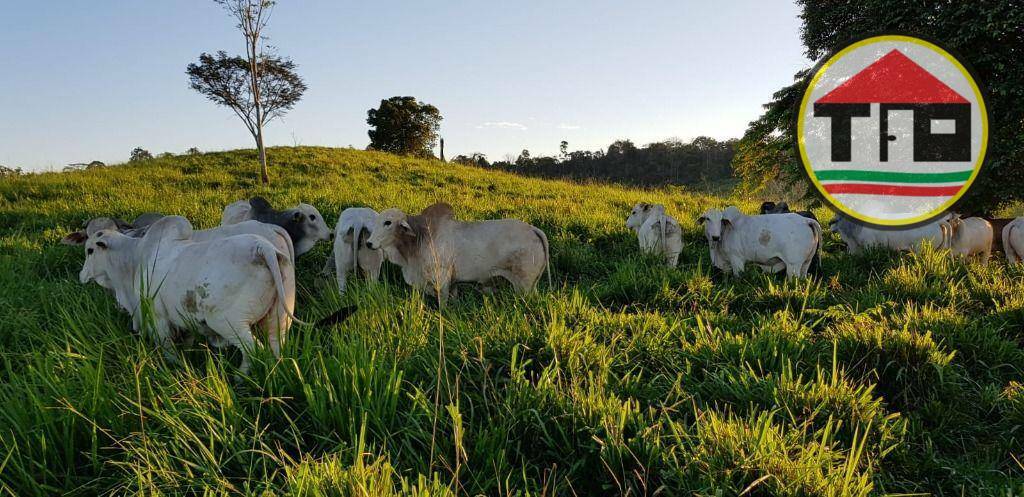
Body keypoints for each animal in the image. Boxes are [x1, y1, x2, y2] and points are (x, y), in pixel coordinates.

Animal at [362, 202, 548, 303]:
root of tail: (532, 229)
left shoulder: (441, 279)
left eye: (388, 222)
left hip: (524, 286)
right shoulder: (452, 283)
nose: (369, 243)